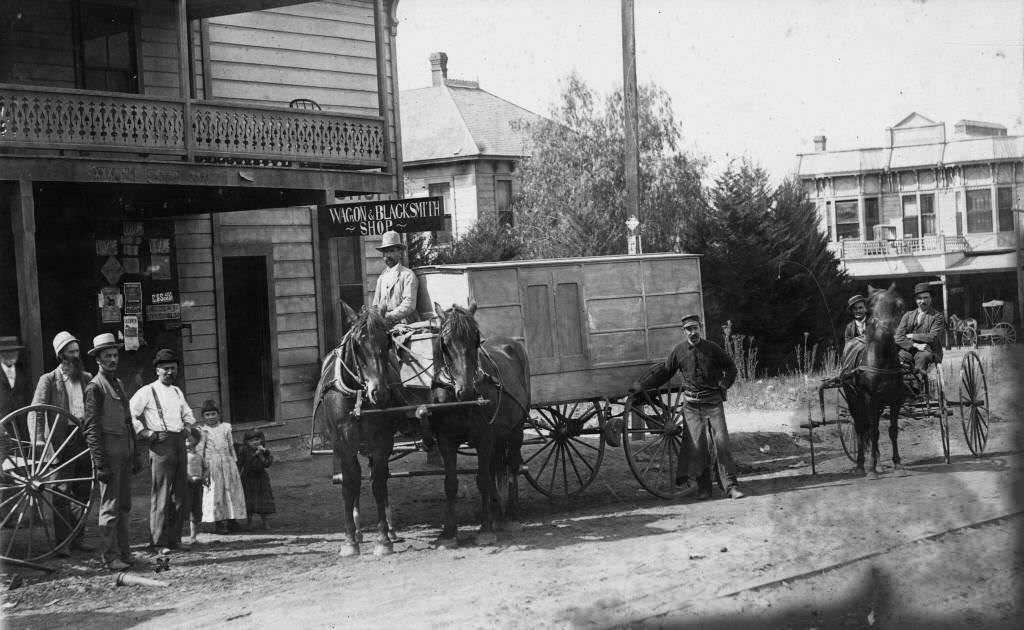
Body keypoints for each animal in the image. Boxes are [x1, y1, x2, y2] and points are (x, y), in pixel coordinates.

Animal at [311, 305, 395, 557]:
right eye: (357, 343)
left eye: (388, 341)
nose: (380, 392)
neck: (357, 393)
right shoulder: (342, 442)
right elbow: (350, 483)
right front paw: (349, 540)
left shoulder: (382, 441)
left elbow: (379, 483)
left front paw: (383, 539)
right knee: (354, 477)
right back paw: (357, 530)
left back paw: (391, 529)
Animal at [428, 303, 532, 549]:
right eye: (445, 343)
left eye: (476, 339)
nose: (466, 390)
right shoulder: (445, 439)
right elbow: (451, 483)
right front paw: (448, 533)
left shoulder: (484, 437)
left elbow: (483, 480)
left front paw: (485, 530)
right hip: (499, 437)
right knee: (496, 467)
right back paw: (497, 512)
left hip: (516, 430)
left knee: (512, 466)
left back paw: (511, 515)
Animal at [843, 282, 909, 475]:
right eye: (869, 308)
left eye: (899, 305)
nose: (886, 331)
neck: (883, 363)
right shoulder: (869, 399)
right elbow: (871, 431)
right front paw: (871, 469)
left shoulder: (895, 399)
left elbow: (892, 430)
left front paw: (897, 463)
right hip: (854, 400)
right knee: (860, 427)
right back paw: (861, 465)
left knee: (874, 428)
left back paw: (878, 462)